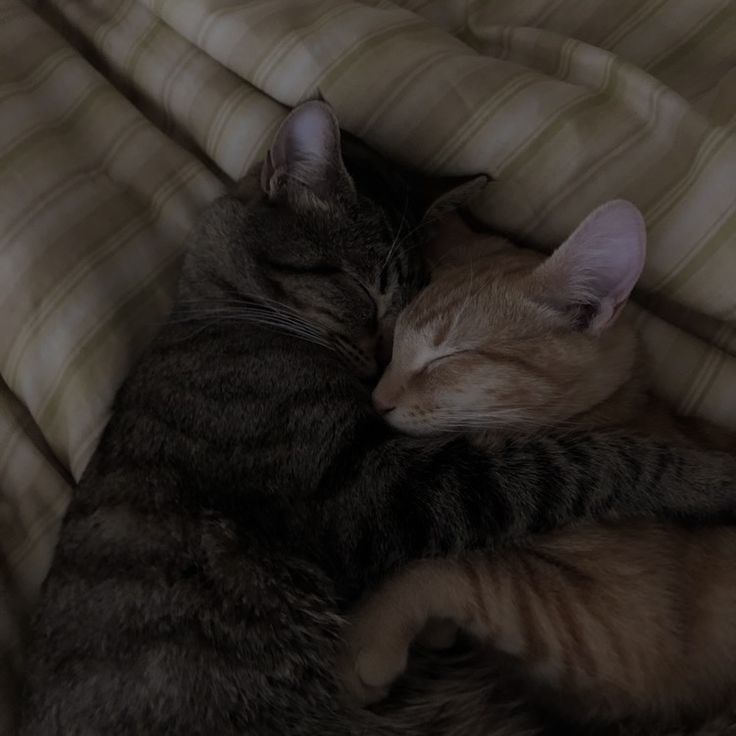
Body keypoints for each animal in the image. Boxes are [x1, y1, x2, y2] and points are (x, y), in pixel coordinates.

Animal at [342, 200, 736, 732]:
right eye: (395, 345)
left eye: (448, 356)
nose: (378, 400)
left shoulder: (619, 632)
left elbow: (465, 568)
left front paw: (372, 630)